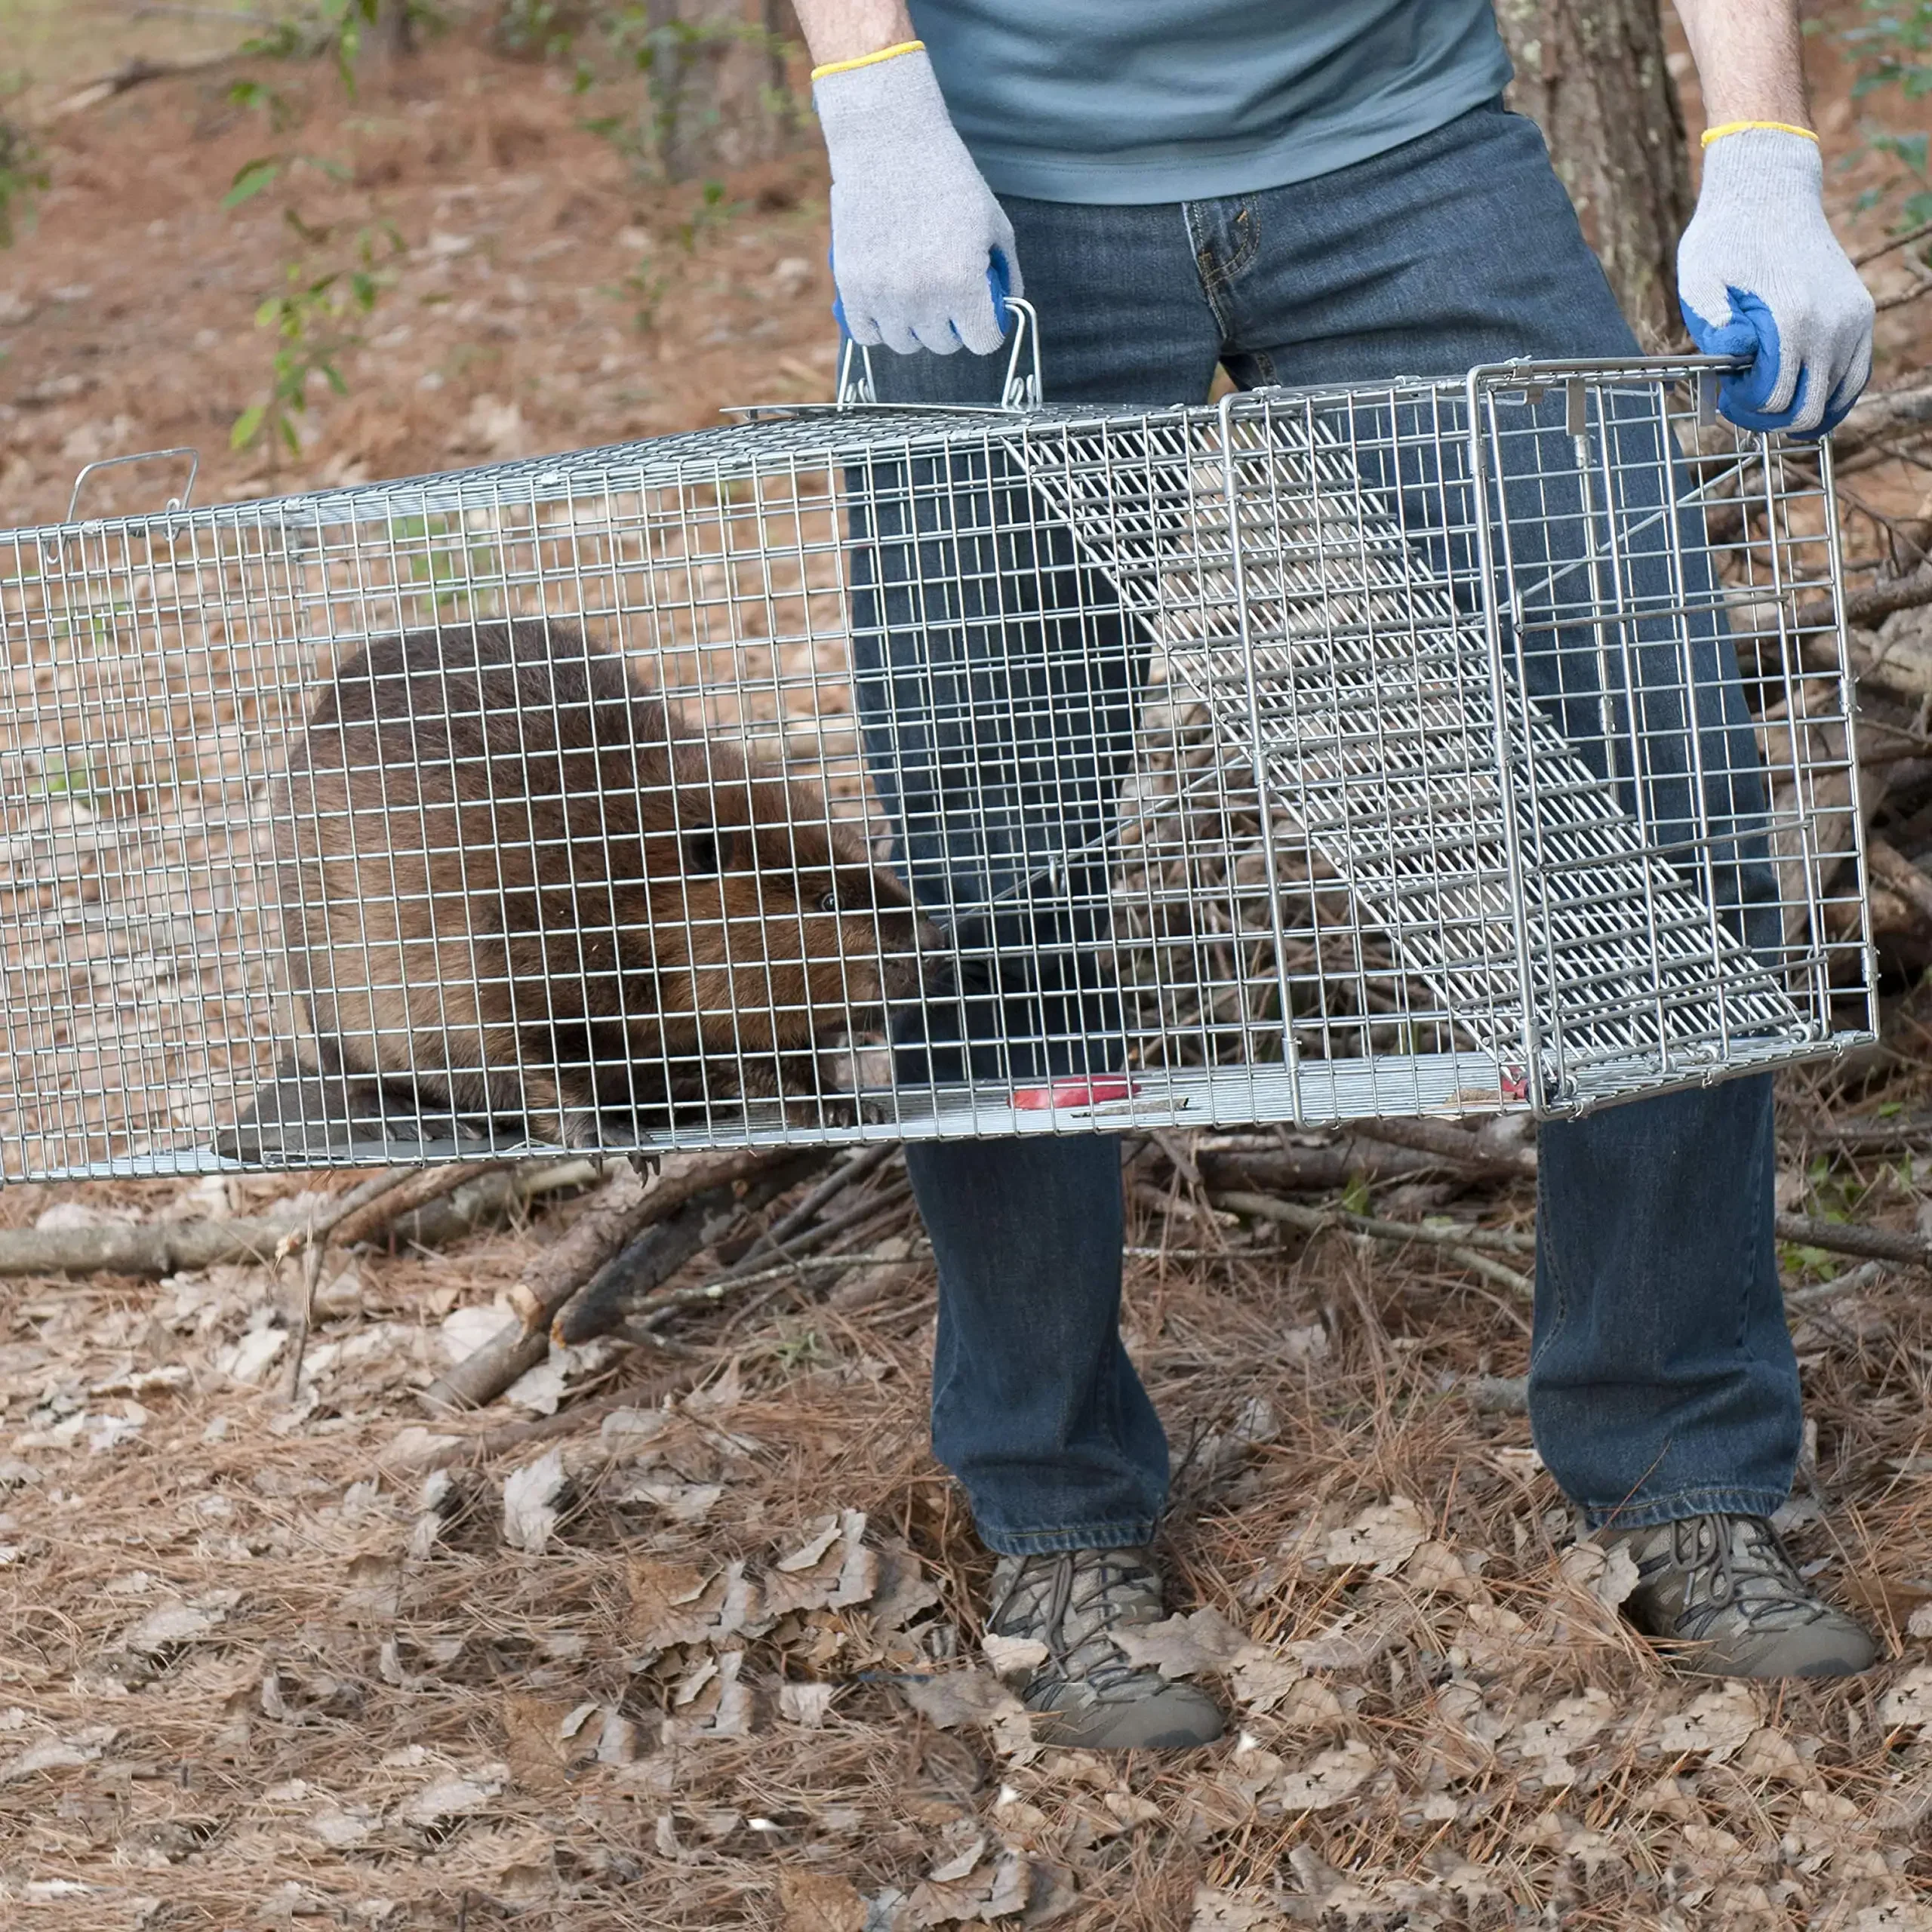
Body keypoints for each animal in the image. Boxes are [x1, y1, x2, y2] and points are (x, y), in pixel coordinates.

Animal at [274, 614, 935, 1143]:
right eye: (827, 899)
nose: (931, 946)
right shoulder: (513, 941)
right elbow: (530, 1050)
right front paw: (603, 1133)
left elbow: (758, 1045)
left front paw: (847, 1106)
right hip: (329, 991)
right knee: (361, 1076)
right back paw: (415, 1118)